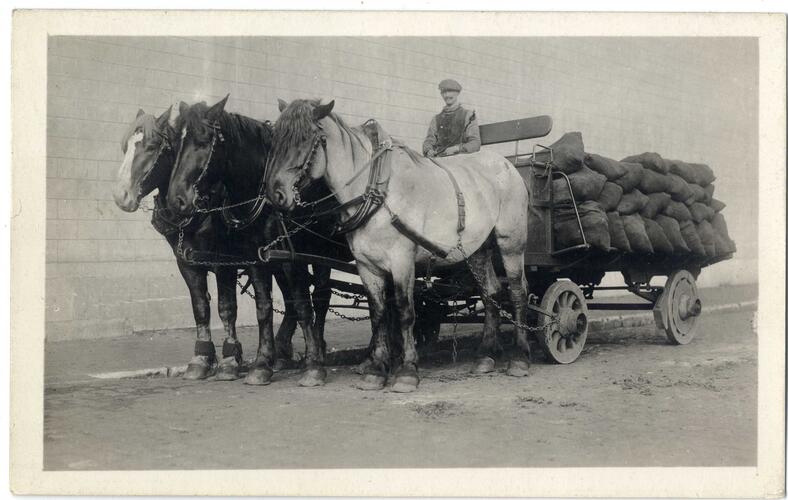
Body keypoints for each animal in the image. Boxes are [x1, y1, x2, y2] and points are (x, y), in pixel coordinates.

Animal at [165, 95, 350, 388]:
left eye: (204, 140)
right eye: (176, 142)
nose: (176, 200)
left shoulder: (291, 261)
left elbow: (302, 305)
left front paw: (312, 367)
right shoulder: (256, 258)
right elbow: (263, 309)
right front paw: (262, 364)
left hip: (322, 255)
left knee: (321, 298)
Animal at [264, 99, 528, 392]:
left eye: (305, 138)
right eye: (274, 139)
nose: (275, 193)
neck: (376, 190)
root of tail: (505, 163)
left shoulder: (401, 260)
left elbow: (404, 311)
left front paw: (407, 370)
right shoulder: (367, 265)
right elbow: (378, 313)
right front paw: (376, 370)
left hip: (511, 242)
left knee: (517, 292)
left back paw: (520, 357)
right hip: (477, 250)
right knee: (491, 292)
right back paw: (485, 355)